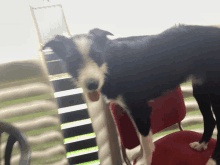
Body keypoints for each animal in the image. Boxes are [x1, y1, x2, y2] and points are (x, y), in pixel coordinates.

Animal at [43, 24, 220, 165]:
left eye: (98, 56)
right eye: (72, 60)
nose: (92, 84)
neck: (111, 64)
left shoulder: (140, 109)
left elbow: (146, 142)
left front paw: (145, 160)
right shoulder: (131, 110)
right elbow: (142, 139)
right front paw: (140, 154)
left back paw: (212, 160)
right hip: (201, 89)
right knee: (210, 120)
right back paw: (202, 144)